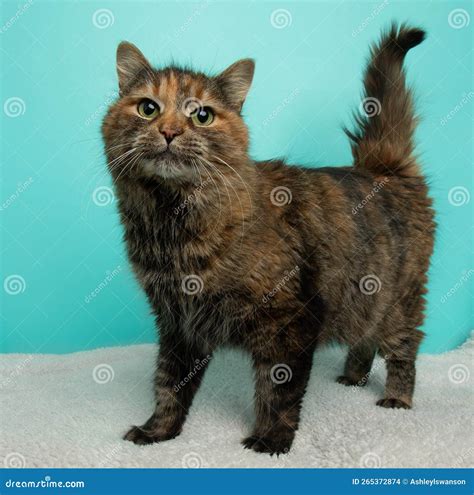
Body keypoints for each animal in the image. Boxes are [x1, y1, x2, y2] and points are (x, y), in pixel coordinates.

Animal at [103, 25, 434, 456]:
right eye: (148, 108)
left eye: (202, 115)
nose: (170, 132)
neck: (172, 224)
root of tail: (384, 169)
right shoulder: (178, 323)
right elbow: (168, 385)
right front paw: (158, 431)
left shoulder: (289, 321)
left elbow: (278, 390)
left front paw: (271, 440)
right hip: (365, 300)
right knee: (364, 340)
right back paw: (352, 378)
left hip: (399, 300)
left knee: (402, 349)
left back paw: (396, 398)